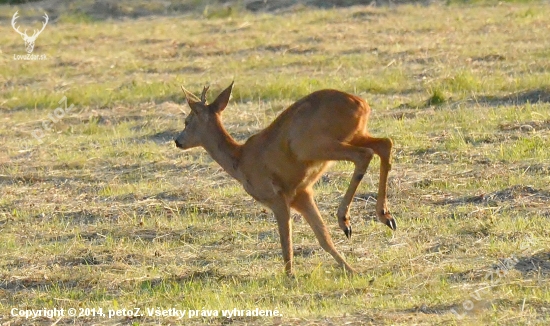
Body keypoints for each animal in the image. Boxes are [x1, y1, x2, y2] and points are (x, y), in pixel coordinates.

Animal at [175, 82, 394, 276]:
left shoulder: (276, 197)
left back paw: (345, 220)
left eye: (187, 121)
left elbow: (285, 239)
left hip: (316, 145)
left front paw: (290, 276)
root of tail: (361, 104)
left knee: (364, 154)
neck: (240, 160)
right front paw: (351, 270)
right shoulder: (301, 195)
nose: (178, 141)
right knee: (384, 144)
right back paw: (386, 217)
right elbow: (323, 236)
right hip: (355, 134)